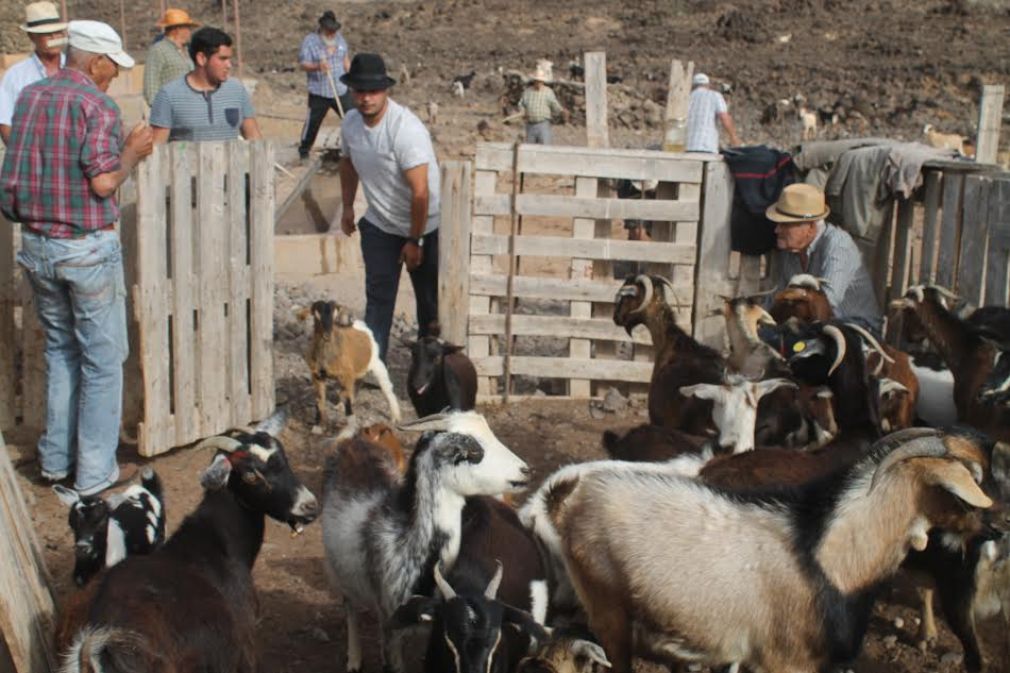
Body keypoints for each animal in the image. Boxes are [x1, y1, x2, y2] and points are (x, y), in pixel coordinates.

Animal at [57, 408, 317, 670]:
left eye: (285, 458)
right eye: (250, 474)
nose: (310, 506)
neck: (220, 544)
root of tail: (98, 652)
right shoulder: (242, 652)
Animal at [296, 297, 399, 432]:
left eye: (335, 315)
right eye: (316, 314)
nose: (327, 335)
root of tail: (358, 325)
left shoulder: (346, 374)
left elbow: (347, 400)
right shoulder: (317, 376)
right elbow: (320, 400)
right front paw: (318, 427)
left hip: (376, 363)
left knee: (387, 387)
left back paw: (395, 416)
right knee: (354, 385)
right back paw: (341, 405)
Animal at [323, 408, 533, 670]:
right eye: (473, 451)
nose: (526, 471)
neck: (407, 545)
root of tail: (352, 440)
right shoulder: (390, 626)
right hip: (337, 571)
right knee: (349, 606)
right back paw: (354, 658)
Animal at [545, 430, 993, 670]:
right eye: (966, 488)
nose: (993, 530)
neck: (830, 561)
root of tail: (570, 501)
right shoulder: (785, 661)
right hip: (607, 609)